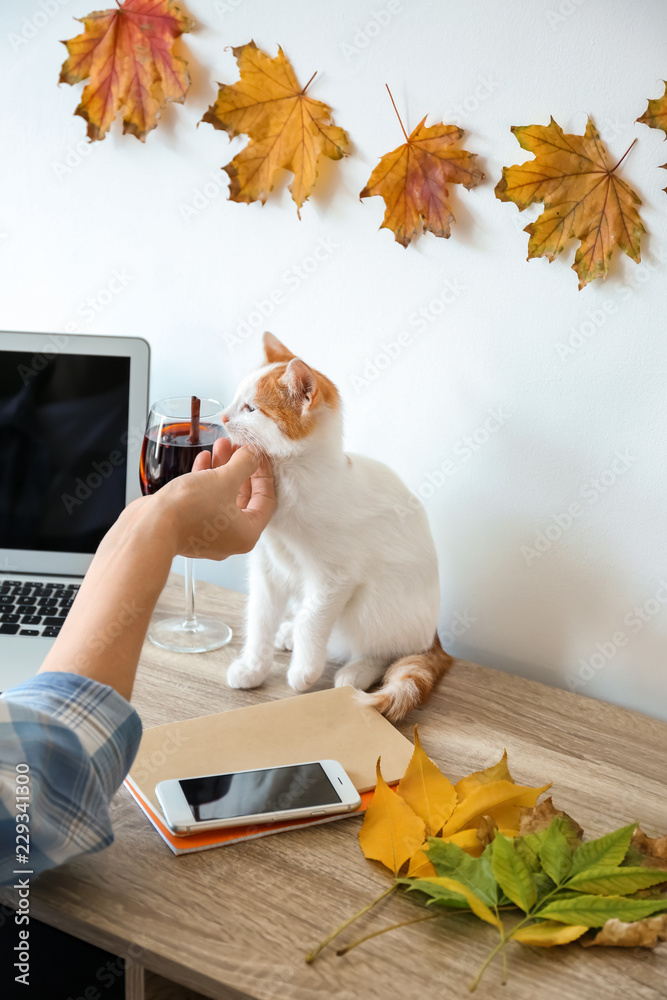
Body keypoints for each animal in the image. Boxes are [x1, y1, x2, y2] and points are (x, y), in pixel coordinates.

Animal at [223, 334, 454, 720]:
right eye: (234, 399)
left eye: (251, 409)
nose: (224, 417)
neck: (291, 483)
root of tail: (433, 634)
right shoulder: (267, 568)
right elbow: (260, 617)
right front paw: (253, 666)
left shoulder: (336, 578)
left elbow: (312, 619)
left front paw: (303, 672)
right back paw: (288, 634)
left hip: (372, 605)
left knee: (384, 650)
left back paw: (355, 671)